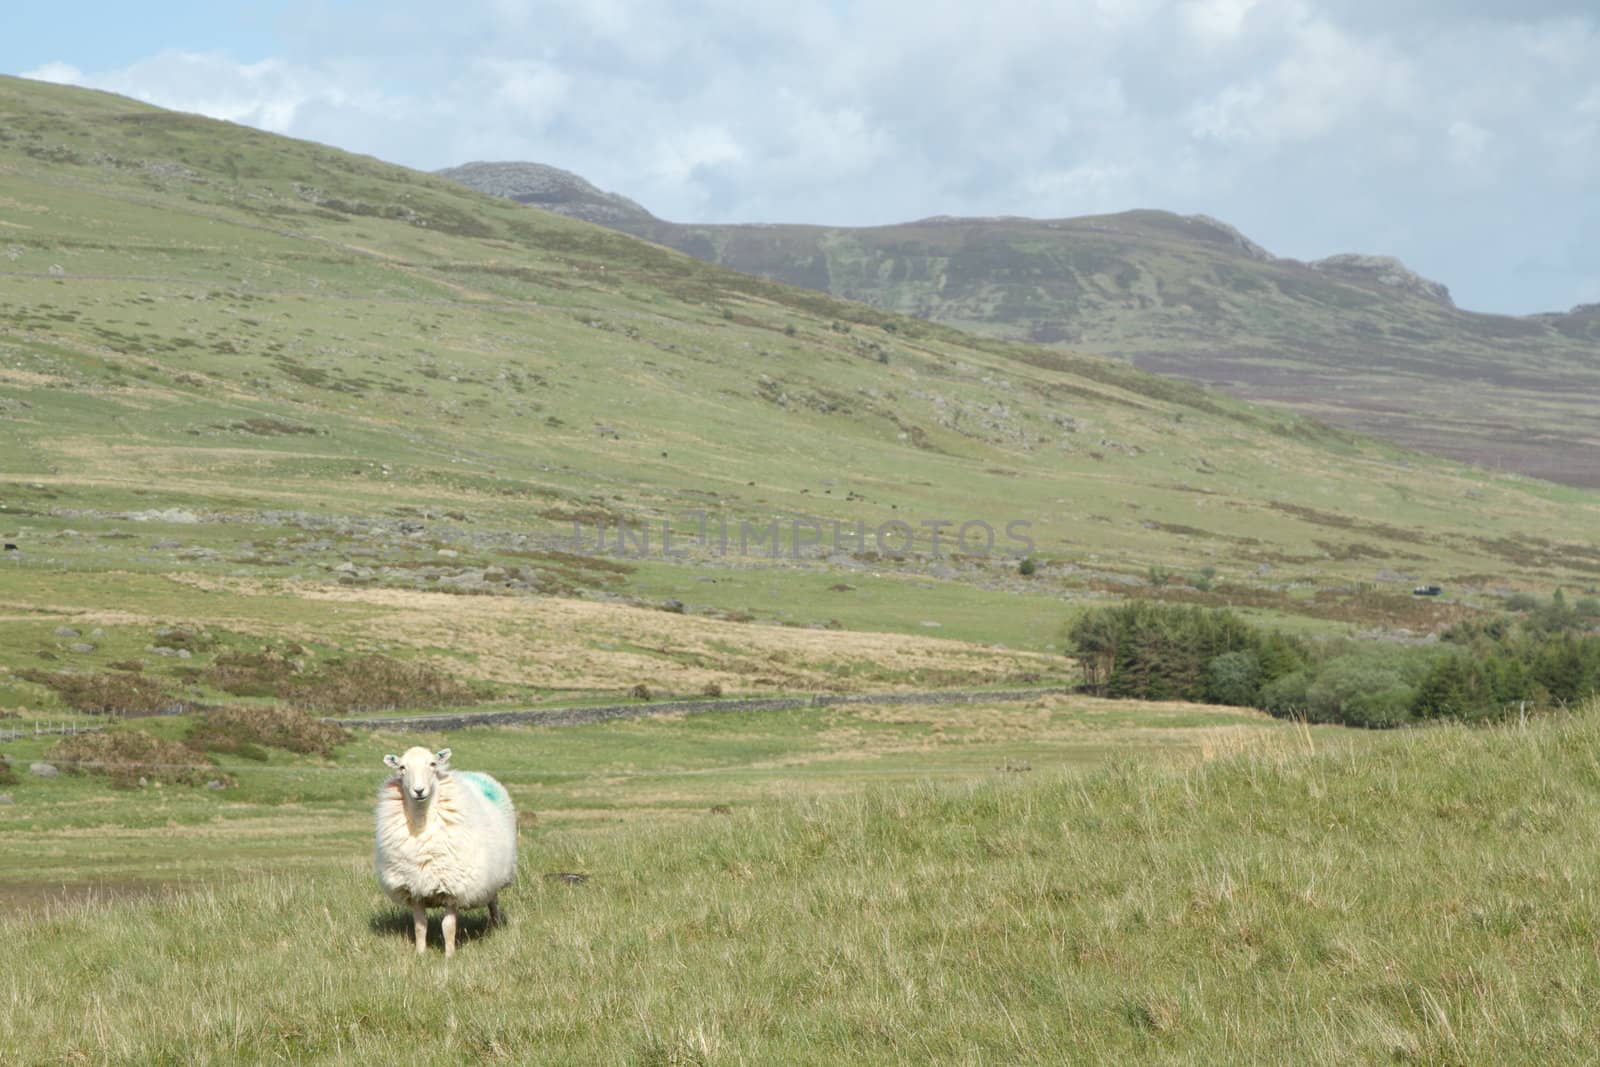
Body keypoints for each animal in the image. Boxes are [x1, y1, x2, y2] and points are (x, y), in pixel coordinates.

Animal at [371, 742, 515, 959]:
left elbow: (448, 927)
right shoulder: (414, 888)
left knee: (493, 902)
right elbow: (420, 926)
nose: (419, 791)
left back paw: (495, 926)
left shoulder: (453, 888)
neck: (421, 823)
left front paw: (449, 956)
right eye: (402, 768)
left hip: (494, 875)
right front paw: (420, 954)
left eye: (432, 764)